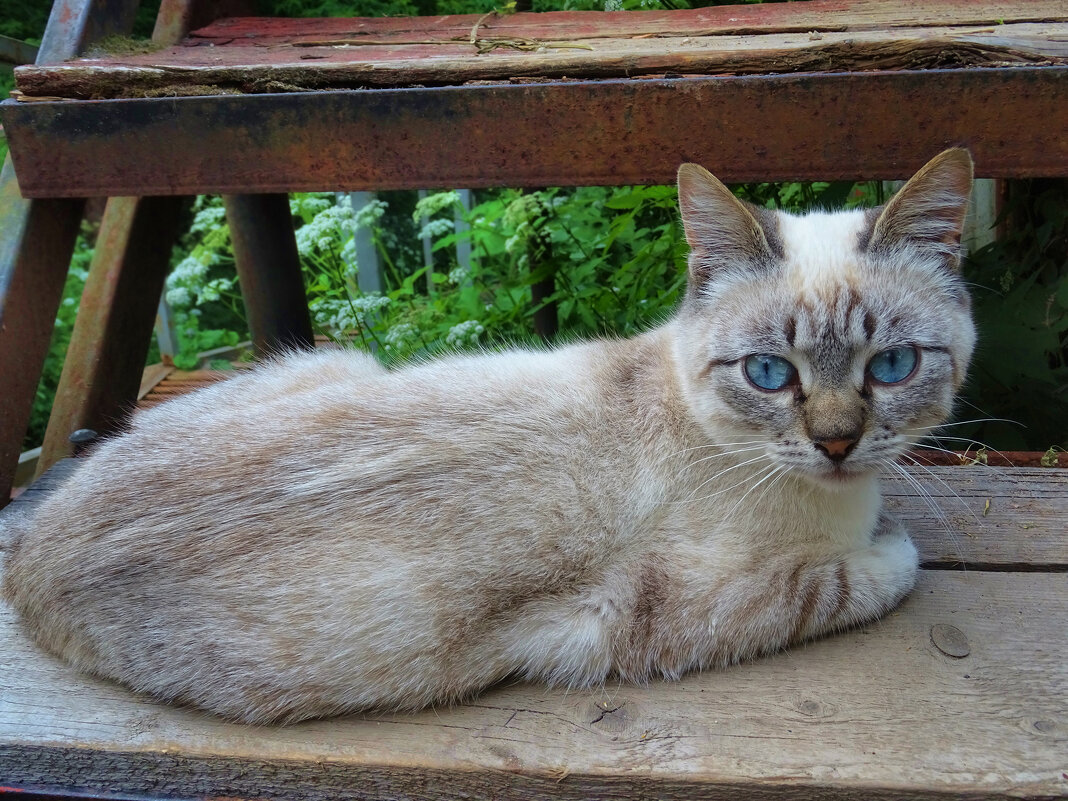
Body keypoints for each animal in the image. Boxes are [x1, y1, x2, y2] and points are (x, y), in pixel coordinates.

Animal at [0, 147, 978, 726]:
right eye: (770, 374)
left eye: (892, 366)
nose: (839, 444)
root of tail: (38, 542)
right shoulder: (637, 614)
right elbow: (854, 576)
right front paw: (892, 542)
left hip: (334, 360)